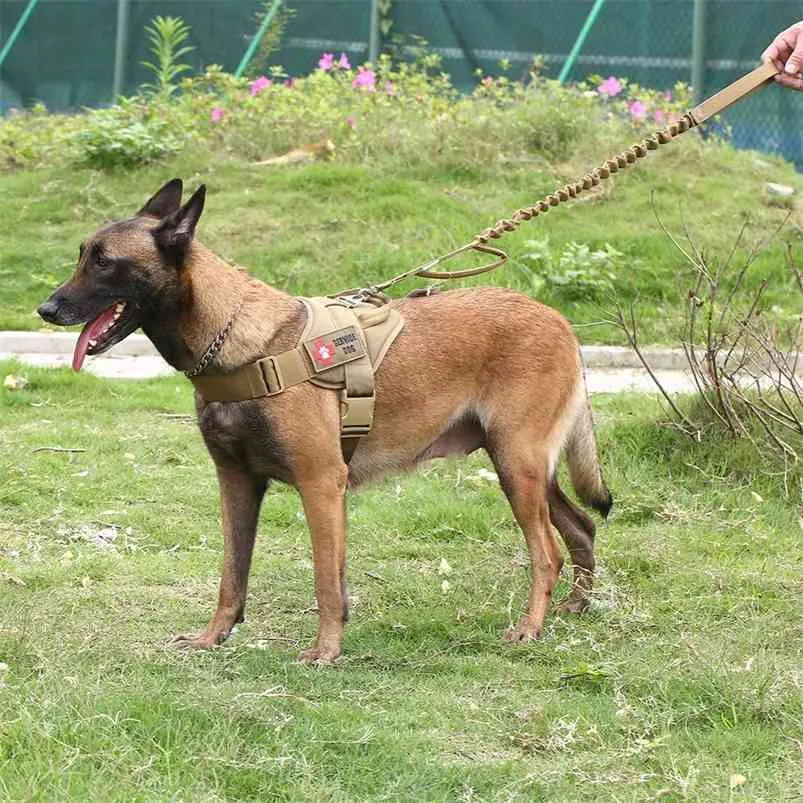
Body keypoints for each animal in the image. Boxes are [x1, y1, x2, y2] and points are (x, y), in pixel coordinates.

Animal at [37, 179, 612, 664]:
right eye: (82, 256)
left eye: (104, 262)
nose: (47, 309)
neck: (238, 340)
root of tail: (559, 320)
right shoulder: (237, 484)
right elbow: (232, 575)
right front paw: (213, 638)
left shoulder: (320, 485)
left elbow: (324, 582)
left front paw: (326, 653)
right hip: (523, 468)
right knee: (581, 527)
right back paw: (575, 608)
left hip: (517, 465)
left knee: (548, 552)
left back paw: (531, 629)